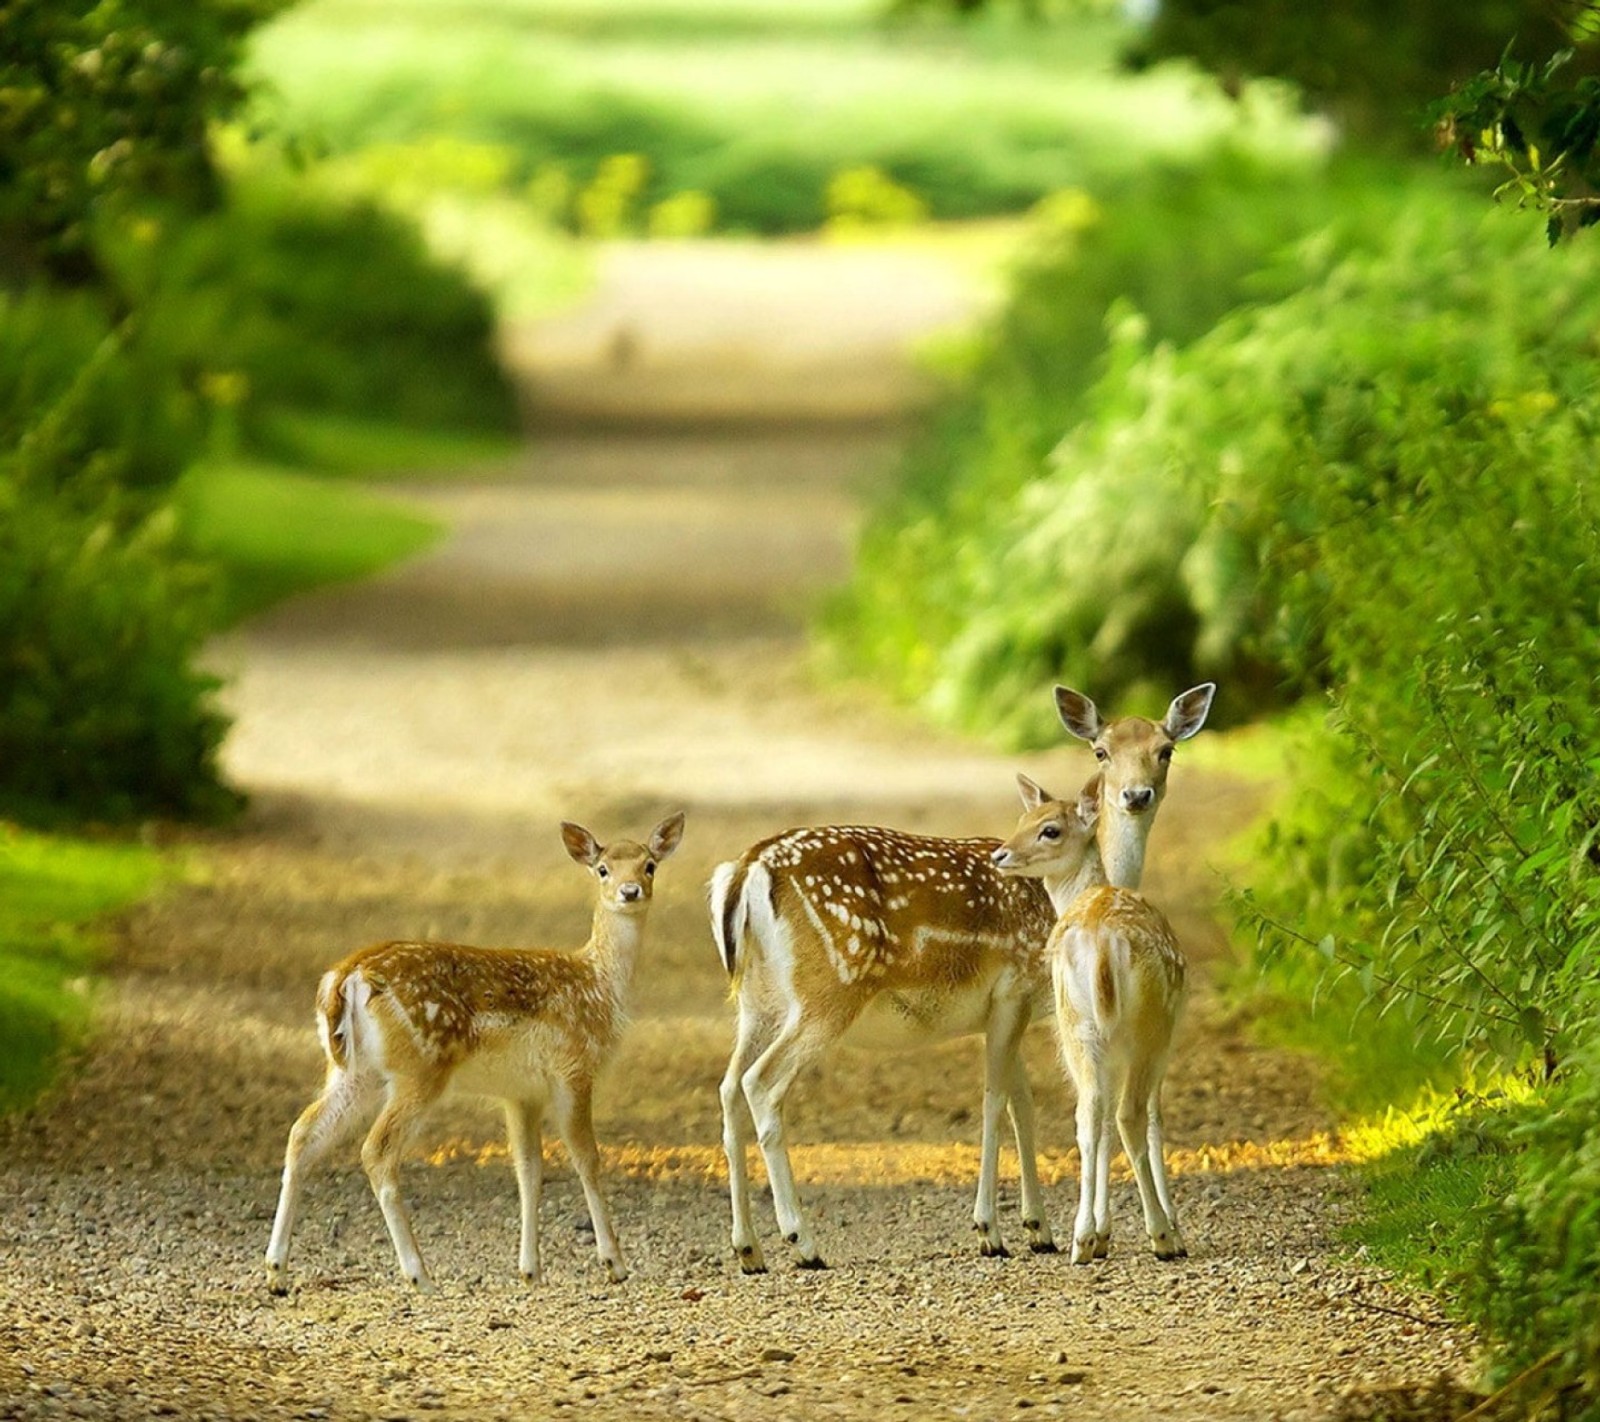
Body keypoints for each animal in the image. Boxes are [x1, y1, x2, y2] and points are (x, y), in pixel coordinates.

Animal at [260, 802, 681, 1292]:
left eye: (649, 865)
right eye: (602, 869)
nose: (631, 891)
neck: (599, 985)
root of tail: (344, 978)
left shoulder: (521, 1093)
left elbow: (529, 1170)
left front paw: (529, 1270)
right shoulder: (573, 1069)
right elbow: (587, 1159)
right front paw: (614, 1262)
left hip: (352, 1071)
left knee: (303, 1133)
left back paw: (276, 1270)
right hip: (420, 1067)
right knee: (376, 1150)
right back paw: (419, 1273)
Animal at [985, 777, 1190, 1266]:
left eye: (1049, 829)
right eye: (1023, 819)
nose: (1000, 854)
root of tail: (1102, 945)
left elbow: (1095, 1124)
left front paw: (1101, 1233)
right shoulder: (1159, 1037)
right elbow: (1152, 1119)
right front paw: (1162, 1229)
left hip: (1077, 1023)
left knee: (1089, 1113)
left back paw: (1081, 1239)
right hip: (1148, 1027)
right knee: (1129, 1113)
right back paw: (1161, 1236)